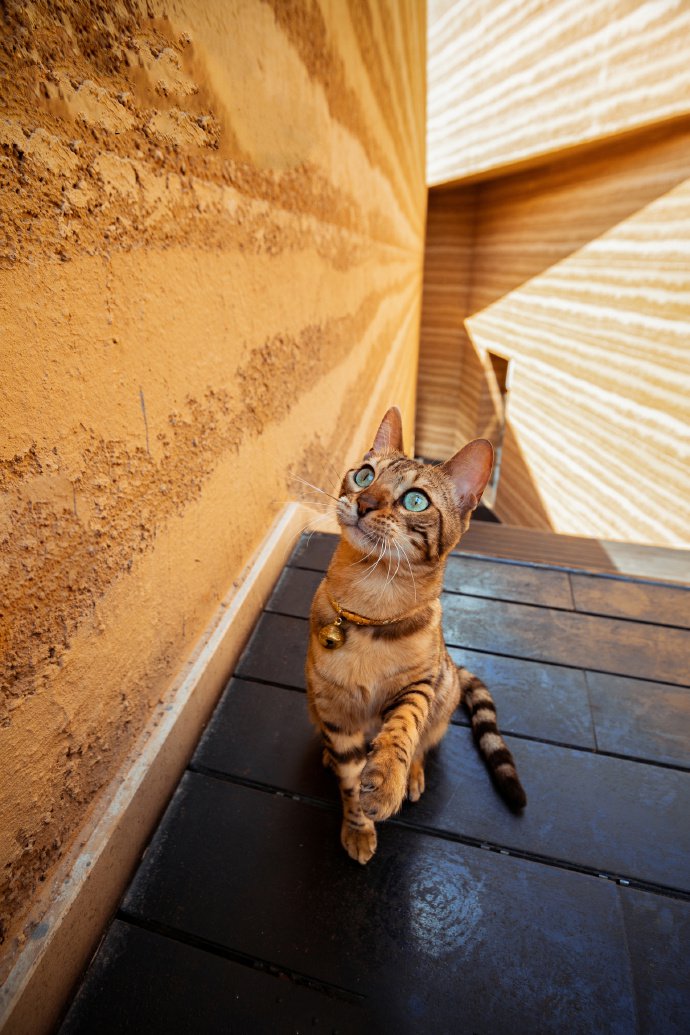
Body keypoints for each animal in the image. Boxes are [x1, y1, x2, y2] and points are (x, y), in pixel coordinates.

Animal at [304, 403, 525, 865]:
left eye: (415, 500)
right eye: (364, 475)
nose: (364, 502)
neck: (371, 598)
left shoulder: (421, 683)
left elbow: (404, 728)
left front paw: (387, 781)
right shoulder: (334, 709)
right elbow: (350, 779)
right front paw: (358, 827)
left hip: (444, 691)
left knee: (426, 740)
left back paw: (413, 777)